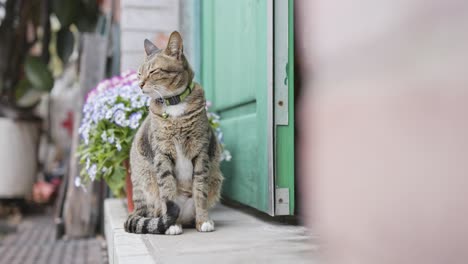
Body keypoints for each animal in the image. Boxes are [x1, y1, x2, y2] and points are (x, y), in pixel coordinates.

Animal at [124, 31, 223, 235]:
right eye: (139, 73)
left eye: (153, 72)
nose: (140, 84)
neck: (174, 103)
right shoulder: (162, 153)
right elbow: (167, 187)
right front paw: (171, 225)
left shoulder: (201, 152)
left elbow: (200, 190)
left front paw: (203, 221)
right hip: (147, 188)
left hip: (216, 181)